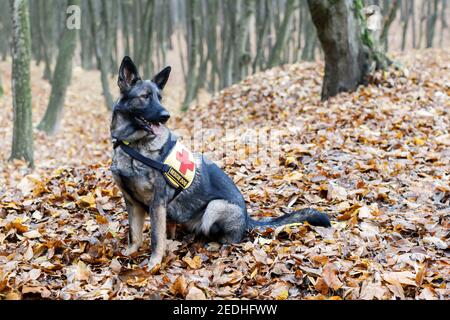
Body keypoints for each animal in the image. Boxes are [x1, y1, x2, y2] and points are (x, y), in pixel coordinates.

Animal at [111, 56, 332, 272]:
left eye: (160, 97)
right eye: (145, 96)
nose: (166, 116)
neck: (133, 145)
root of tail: (246, 219)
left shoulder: (157, 203)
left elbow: (156, 238)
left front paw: (154, 264)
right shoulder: (132, 202)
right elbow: (135, 234)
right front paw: (129, 253)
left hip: (215, 208)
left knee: (230, 239)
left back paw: (211, 244)